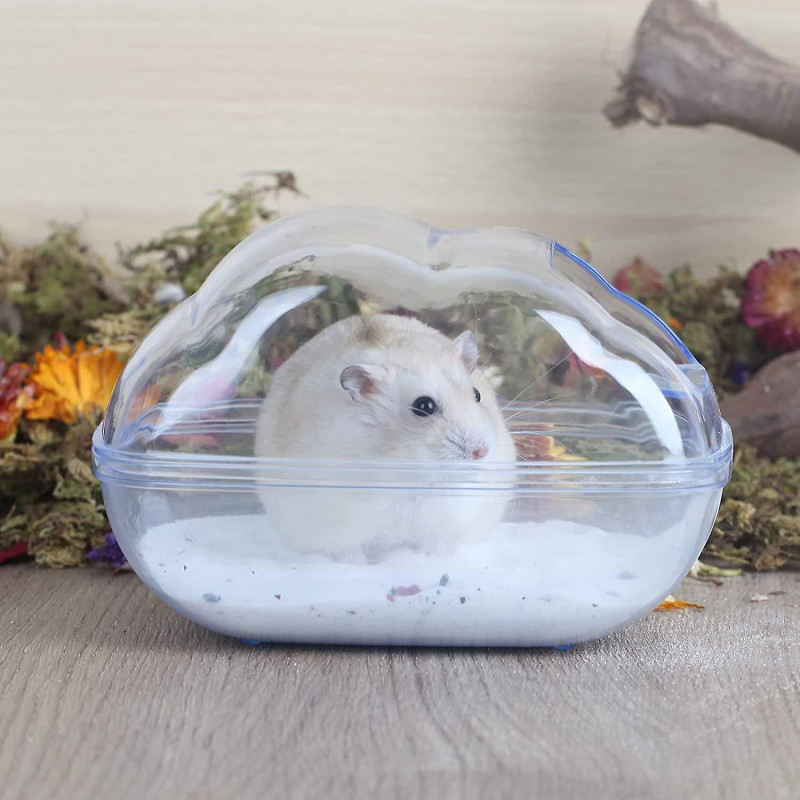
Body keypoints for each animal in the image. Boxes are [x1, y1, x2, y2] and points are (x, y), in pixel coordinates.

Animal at [255, 313, 517, 562]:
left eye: (477, 394)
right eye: (424, 406)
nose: (481, 452)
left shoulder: (446, 518)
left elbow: (435, 541)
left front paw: (435, 558)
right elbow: (348, 550)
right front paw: (356, 564)